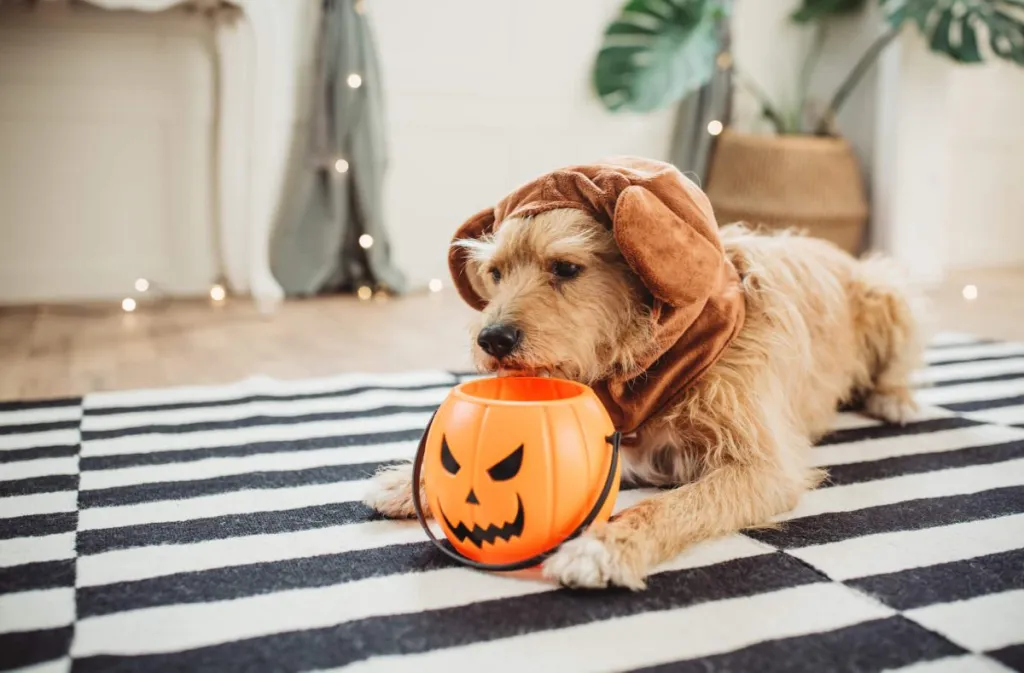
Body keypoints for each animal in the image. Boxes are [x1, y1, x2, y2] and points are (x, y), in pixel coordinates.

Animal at [364, 157, 925, 590]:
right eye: (496, 273)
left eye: (565, 269)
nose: (492, 341)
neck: (649, 362)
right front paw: (409, 482)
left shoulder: (763, 467)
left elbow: (674, 505)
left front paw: (605, 547)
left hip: (887, 291)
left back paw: (894, 399)